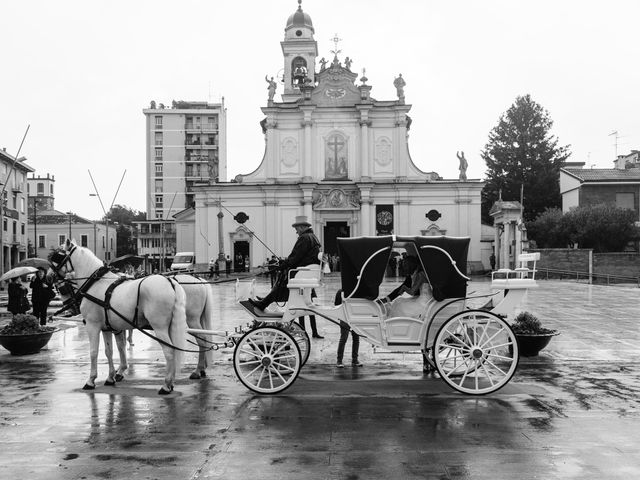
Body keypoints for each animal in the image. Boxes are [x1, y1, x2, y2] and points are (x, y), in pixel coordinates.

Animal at [50, 240, 188, 394]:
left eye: (58, 256)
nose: (49, 275)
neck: (95, 283)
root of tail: (170, 282)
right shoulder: (107, 328)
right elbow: (109, 351)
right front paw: (111, 377)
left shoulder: (93, 325)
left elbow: (93, 352)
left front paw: (91, 380)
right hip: (169, 326)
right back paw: (171, 383)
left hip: (159, 328)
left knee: (169, 351)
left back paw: (166, 385)